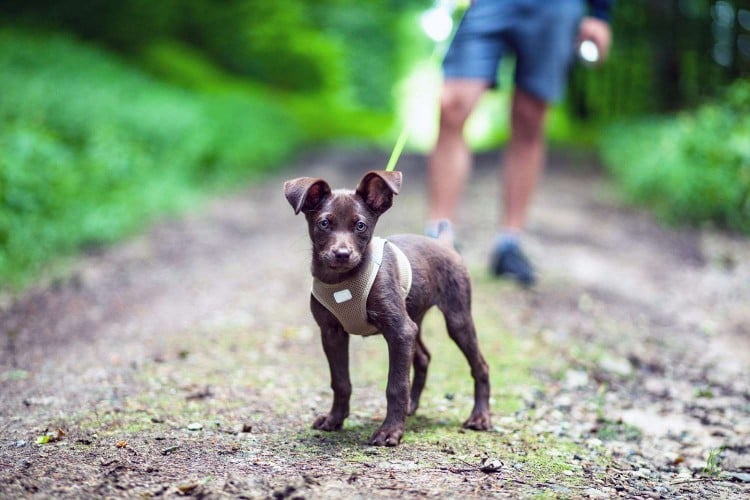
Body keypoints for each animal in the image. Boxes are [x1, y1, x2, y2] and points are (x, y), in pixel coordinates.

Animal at [284, 171, 490, 446]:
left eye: (361, 226)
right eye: (324, 223)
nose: (342, 254)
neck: (342, 281)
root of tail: (444, 245)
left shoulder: (399, 331)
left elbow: (396, 385)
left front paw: (390, 431)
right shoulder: (331, 333)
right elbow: (340, 381)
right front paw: (334, 419)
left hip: (456, 319)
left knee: (480, 365)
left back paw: (480, 417)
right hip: (414, 318)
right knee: (423, 357)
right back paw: (412, 406)